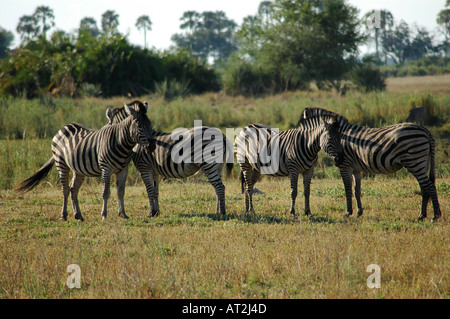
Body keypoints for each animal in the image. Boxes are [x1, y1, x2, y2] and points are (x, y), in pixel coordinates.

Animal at [14, 101, 156, 221]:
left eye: (150, 125)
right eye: (139, 126)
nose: (152, 146)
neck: (121, 142)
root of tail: (65, 127)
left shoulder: (123, 169)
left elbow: (121, 192)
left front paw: (123, 214)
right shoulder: (106, 168)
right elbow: (105, 193)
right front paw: (104, 215)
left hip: (78, 169)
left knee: (73, 189)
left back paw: (78, 215)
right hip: (61, 163)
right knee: (65, 189)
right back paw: (64, 215)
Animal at [300, 107, 442, 222]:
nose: (338, 159)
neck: (342, 135)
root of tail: (425, 130)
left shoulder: (345, 166)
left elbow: (347, 189)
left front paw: (348, 212)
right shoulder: (356, 169)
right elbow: (357, 191)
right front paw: (359, 212)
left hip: (415, 161)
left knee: (430, 186)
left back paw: (435, 215)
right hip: (422, 163)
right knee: (424, 188)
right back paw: (421, 215)